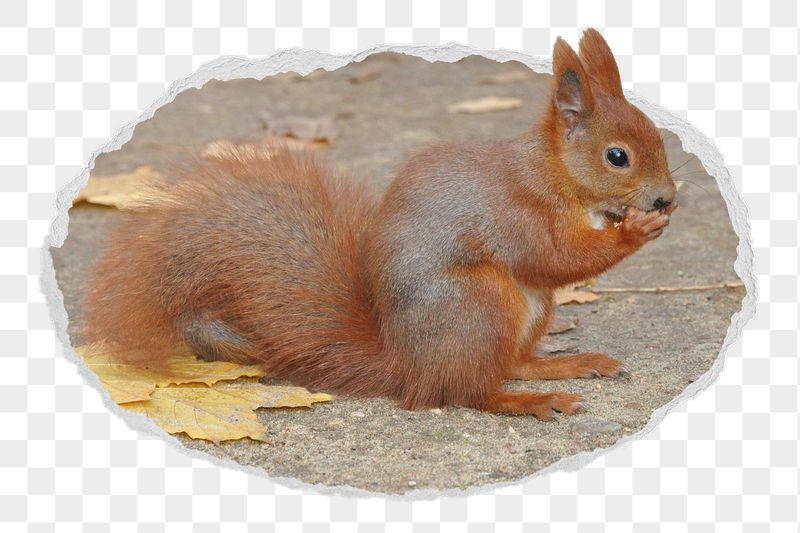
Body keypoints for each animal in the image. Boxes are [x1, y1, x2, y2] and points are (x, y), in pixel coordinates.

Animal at [83, 29, 676, 420]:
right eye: (618, 156)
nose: (667, 199)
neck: (552, 173)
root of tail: (407, 367)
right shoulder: (516, 212)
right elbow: (555, 257)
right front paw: (635, 230)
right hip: (477, 301)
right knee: (470, 391)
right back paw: (531, 400)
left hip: (524, 312)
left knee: (510, 363)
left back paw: (569, 364)